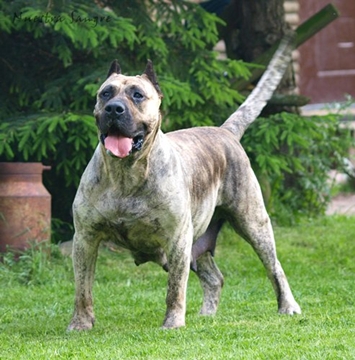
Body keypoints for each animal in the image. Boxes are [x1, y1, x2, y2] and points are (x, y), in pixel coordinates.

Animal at [67, 34, 300, 332]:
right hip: (200, 243)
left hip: (253, 223)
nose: (113, 109)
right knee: (215, 278)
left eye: (137, 95)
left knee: (275, 268)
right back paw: (206, 315)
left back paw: (288, 307)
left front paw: (173, 323)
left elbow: (175, 288)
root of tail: (224, 131)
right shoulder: (85, 238)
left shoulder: (177, 238)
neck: (125, 175)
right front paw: (80, 324)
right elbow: (82, 288)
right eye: (105, 93)